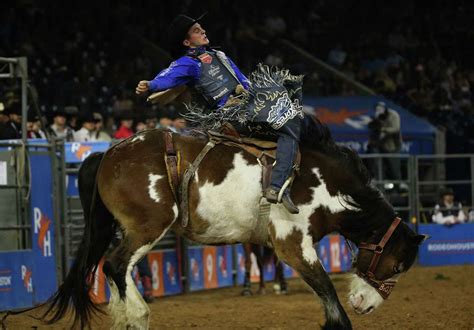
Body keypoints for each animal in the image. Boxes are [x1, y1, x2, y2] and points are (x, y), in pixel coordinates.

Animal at [37, 115, 426, 328]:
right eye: (398, 265)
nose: (367, 305)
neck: (324, 182)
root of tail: (107, 155)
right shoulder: (292, 243)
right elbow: (332, 306)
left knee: (113, 270)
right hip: (148, 224)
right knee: (116, 265)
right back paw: (138, 314)